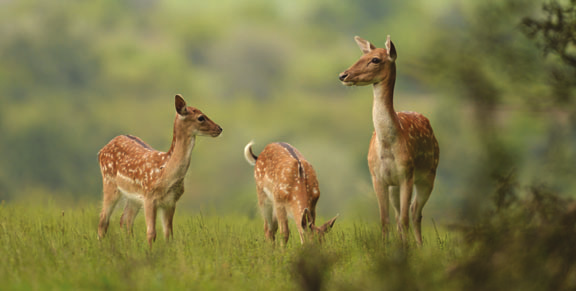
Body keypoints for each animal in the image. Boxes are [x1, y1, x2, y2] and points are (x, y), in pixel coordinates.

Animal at [97, 94, 223, 248]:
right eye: (201, 117)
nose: (219, 128)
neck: (164, 172)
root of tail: (102, 149)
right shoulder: (149, 197)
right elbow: (151, 233)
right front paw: (150, 252)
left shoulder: (171, 201)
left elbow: (168, 234)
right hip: (109, 183)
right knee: (103, 220)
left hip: (134, 197)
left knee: (125, 220)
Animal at [338, 36, 440, 246]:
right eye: (362, 55)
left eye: (375, 59)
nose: (343, 75)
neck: (387, 147)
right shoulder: (377, 177)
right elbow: (385, 219)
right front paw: (387, 247)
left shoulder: (407, 174)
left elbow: (405, 218)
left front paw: (406, 249)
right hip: (395, 186)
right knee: (401, 215)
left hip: (429, 174)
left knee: (414, 212)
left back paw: (419, 246)